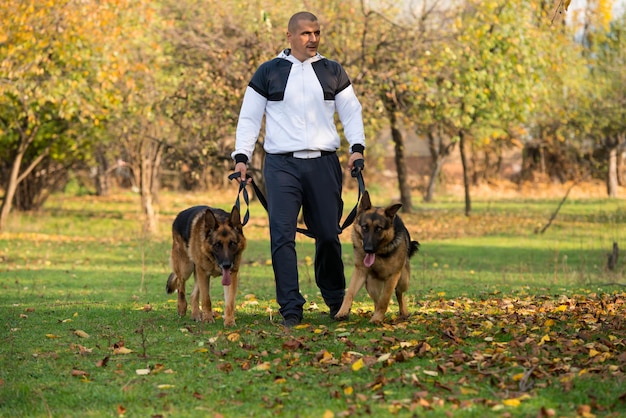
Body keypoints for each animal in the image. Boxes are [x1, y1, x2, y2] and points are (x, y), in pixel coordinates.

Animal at [334, 191, 416, 324]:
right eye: (365, 227)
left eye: (379, 229)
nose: (368, 249)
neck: (379, 254)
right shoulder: (360, 272)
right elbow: (350, 293)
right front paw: (342, 312)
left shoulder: (393, 276)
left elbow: (385, 299)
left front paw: (377, 318)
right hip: (371, 285)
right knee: (377, 301)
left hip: (403, 280)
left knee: (399, 293)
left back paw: (403, 312)